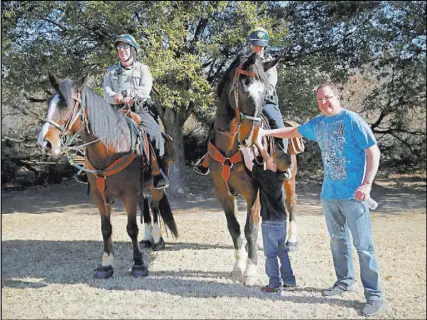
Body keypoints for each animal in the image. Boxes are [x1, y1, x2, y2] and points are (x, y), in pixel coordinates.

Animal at [36, 74, 178, 278]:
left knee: (154, 206)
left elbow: (131, 228)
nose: (44, 143)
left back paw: (157, 240)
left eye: (68, 105)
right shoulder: (99, 197)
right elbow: (106, 229)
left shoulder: (129, 195)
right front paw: (106, 265)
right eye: (49, 103)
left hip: (155, 186)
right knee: (145, 207)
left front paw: (138, 264)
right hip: (141, 188)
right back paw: (147, 239)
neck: (111, 149)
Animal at [206, 52, 300, 284]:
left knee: (291, 207)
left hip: (289, 179)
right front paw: (238, 266)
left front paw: (250, 271)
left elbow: (251, 228)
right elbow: (235, 228)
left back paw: (291, 241)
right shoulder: (222, 192)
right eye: (243, 89)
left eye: (265, 92)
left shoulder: (253, 191)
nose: (250, 137)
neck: (230, 146)